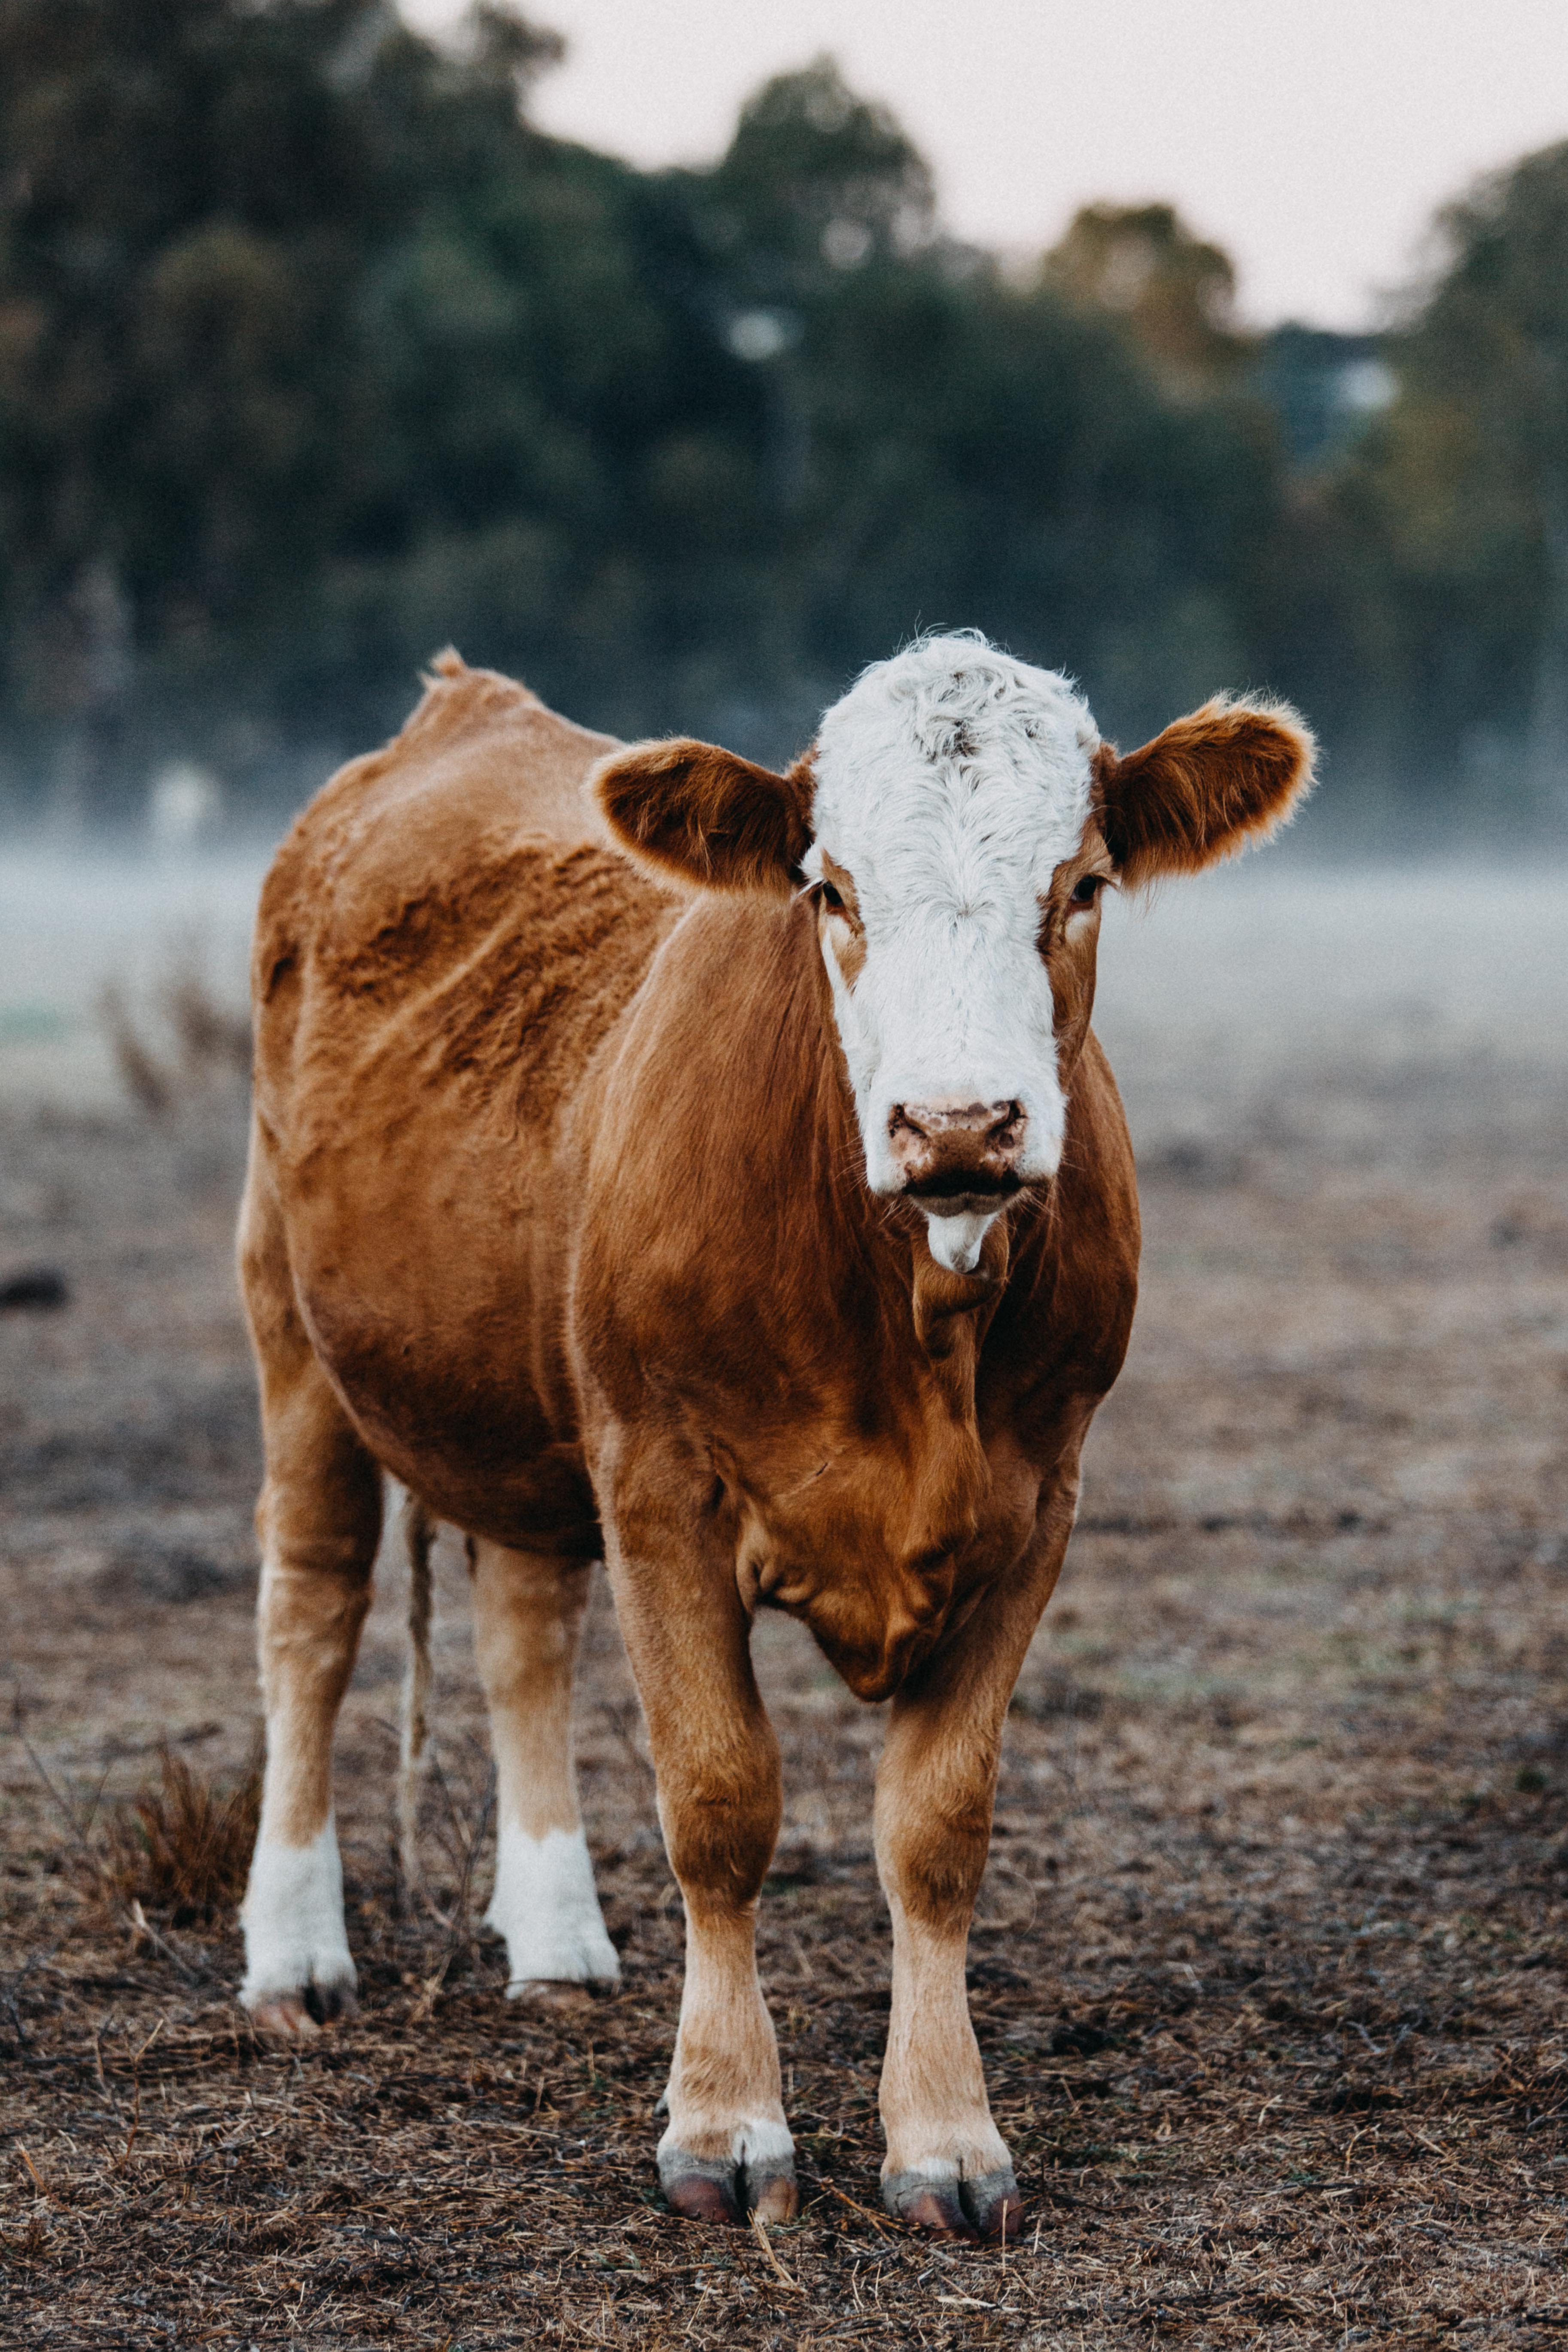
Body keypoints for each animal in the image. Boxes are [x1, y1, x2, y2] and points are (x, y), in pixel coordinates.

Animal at [237, 634, 1313, 2241]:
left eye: (1080, 884)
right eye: (831, 890)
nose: (958, 1123)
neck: (915, 1323)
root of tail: (457, 705)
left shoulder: (1039, 1499)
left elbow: (936, 1826)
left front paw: (945, 2134)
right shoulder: (659, 1478)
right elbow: (718, 1797)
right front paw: (723, 2122)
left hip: (529, 1390)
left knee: (521, 1625)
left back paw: (554, 1938)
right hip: (294, 1331)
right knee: (311, 1609)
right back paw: (294, 1950)